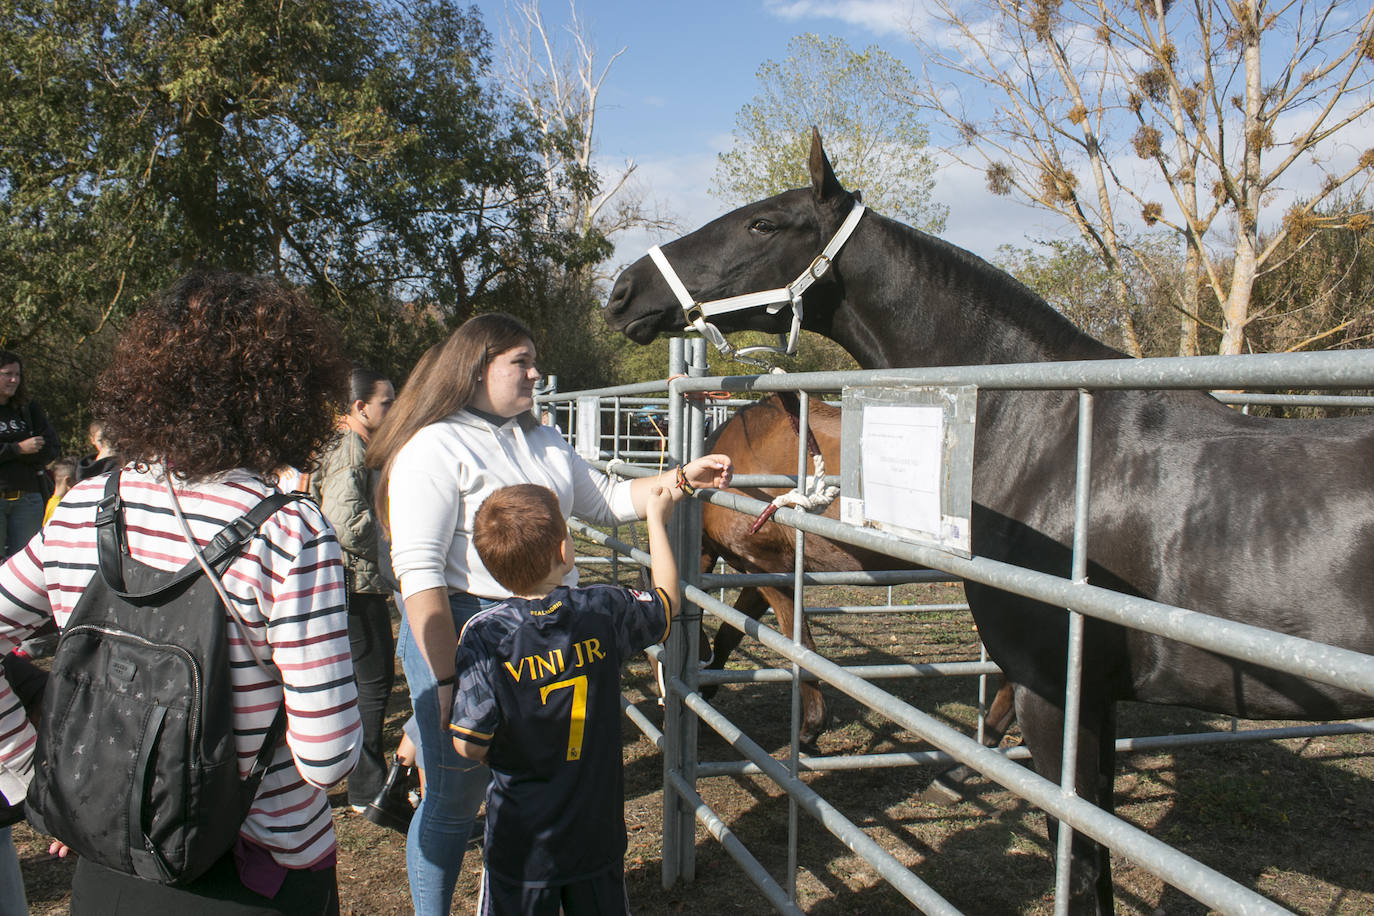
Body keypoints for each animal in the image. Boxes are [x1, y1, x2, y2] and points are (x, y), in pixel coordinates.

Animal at [607, 130, 1374, 916]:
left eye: (763, 223)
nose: (623, 290)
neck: (1045, 429)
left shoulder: (1055, 693)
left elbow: (1081, 859)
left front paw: (797, 727)